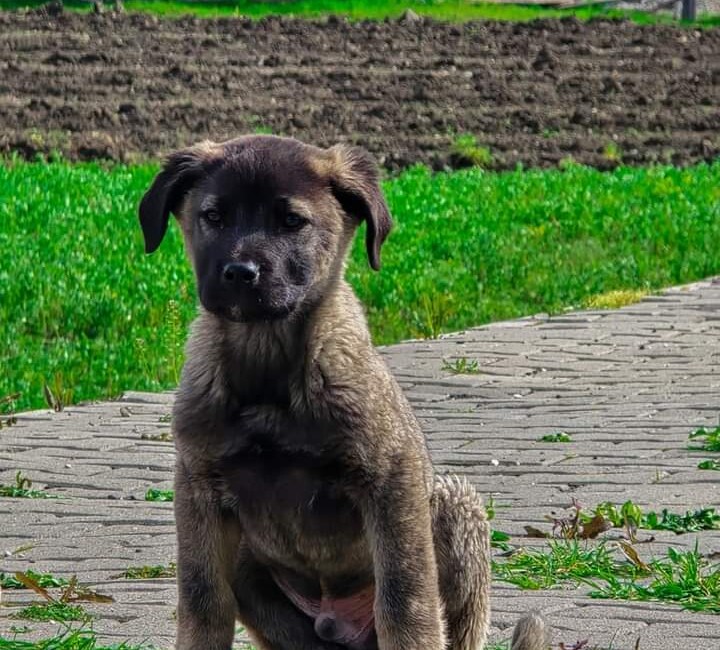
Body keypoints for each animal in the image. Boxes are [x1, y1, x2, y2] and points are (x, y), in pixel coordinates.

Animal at [139, 135, 544, 648]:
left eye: (292, 221)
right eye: (213, 216)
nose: (239, 272)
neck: (268, 368)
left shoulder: (390, 480)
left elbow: (406, 597)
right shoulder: (199, 488)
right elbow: (203, 600)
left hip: (454, 506)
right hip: (250, 561)